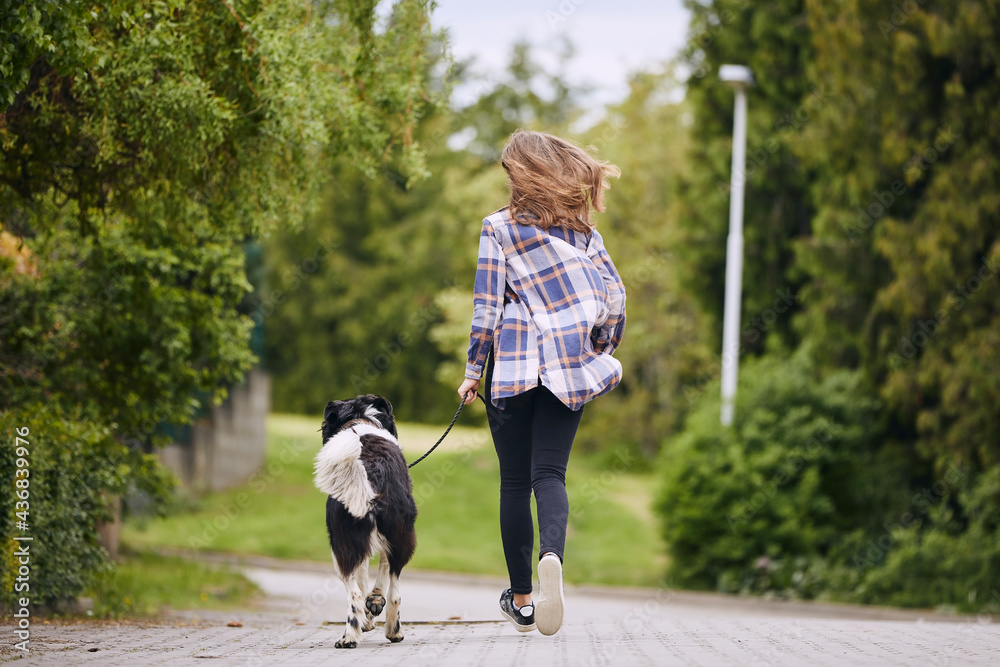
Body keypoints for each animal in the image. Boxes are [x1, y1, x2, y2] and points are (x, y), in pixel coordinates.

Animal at [316, 396, 418, 648]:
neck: (360, 419)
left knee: (355, 592)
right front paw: (374, 603)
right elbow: (381, 569)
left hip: (342, 542)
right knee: (394, 590)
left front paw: (368, 616)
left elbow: (364, 576)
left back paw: (352, 635)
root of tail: (370, 468)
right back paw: (391, 631)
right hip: (401, 534)